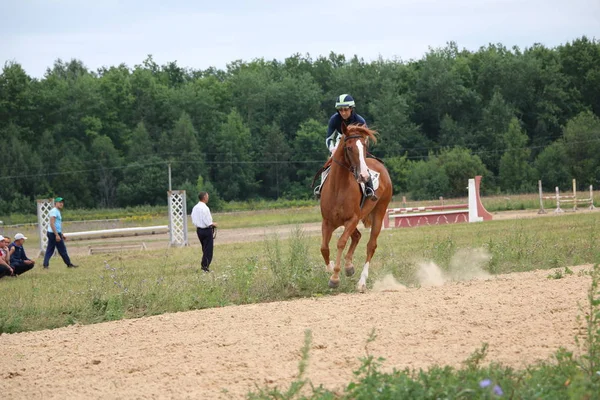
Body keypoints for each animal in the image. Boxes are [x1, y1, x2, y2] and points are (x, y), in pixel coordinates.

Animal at [318, 125, 394, 290]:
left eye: (364, 146)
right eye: (349, 147)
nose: (364, 176)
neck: (338, 187)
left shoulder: (352, 219)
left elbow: (341, 242)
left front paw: (335, 278)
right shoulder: (327, 222)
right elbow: (324, 248)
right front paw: (331, 268)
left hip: (379, 212)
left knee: (371, 245)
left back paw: (361, 281)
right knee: (357, 236)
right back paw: (349, 267)